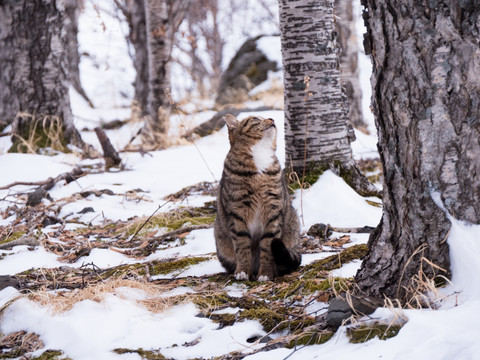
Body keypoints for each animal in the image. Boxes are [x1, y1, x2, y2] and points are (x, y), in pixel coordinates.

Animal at [215, 114, 300, 280]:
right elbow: (242, 246)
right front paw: (242, 271)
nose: (272, 118)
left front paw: (265, 273)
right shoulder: (237, 212)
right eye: (255, 118)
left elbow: (267, 247)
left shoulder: (273, 211)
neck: (260, 155)